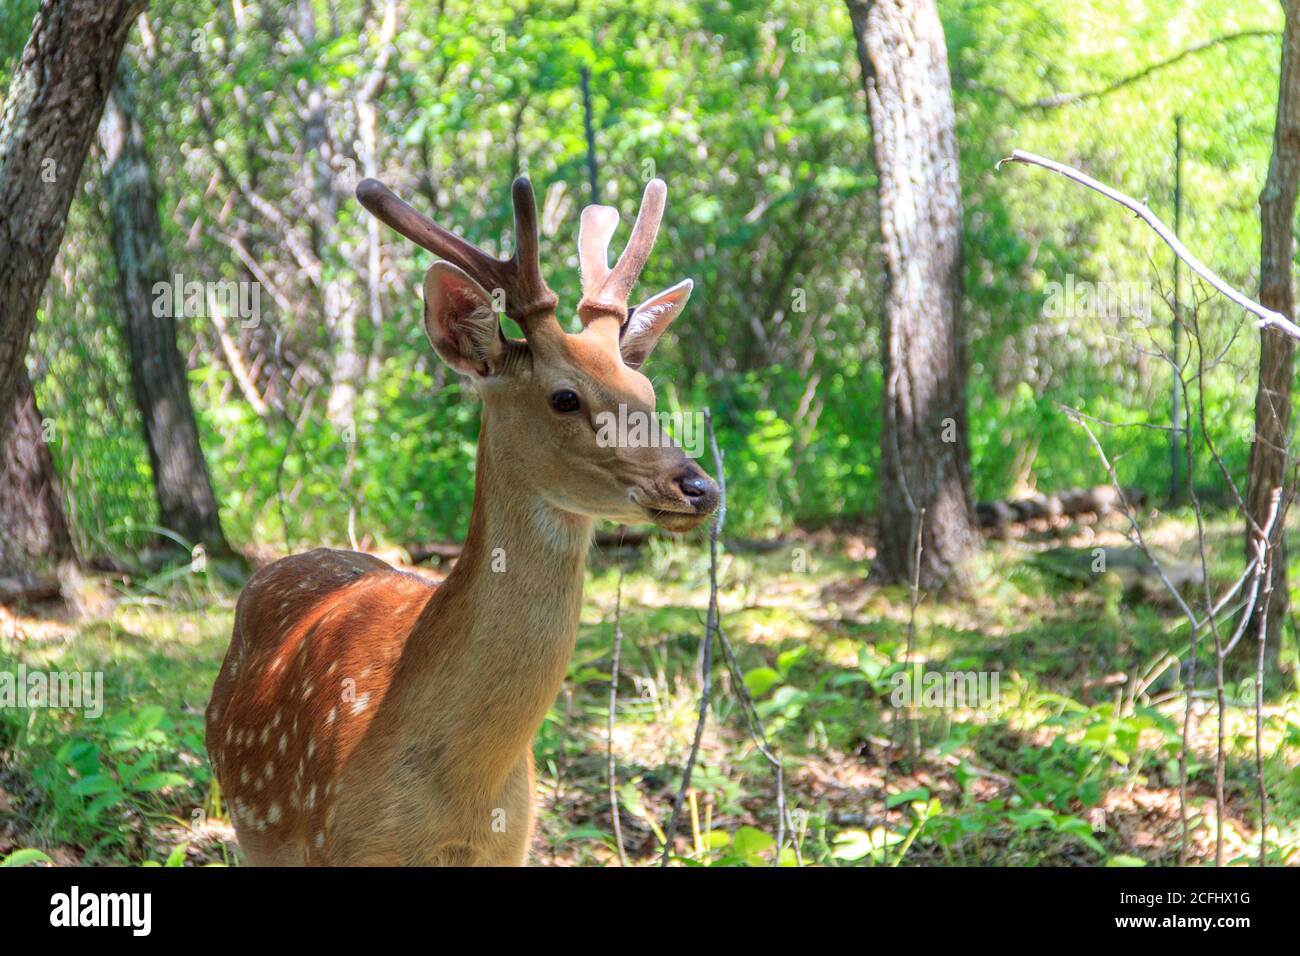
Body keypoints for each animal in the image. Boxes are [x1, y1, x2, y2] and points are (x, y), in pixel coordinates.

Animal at [204, 174, 717, 868]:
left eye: (649, 394)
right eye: (565, 397)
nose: (700, 488)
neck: (464, 798)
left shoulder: (511, 846)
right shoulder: (333, 844)